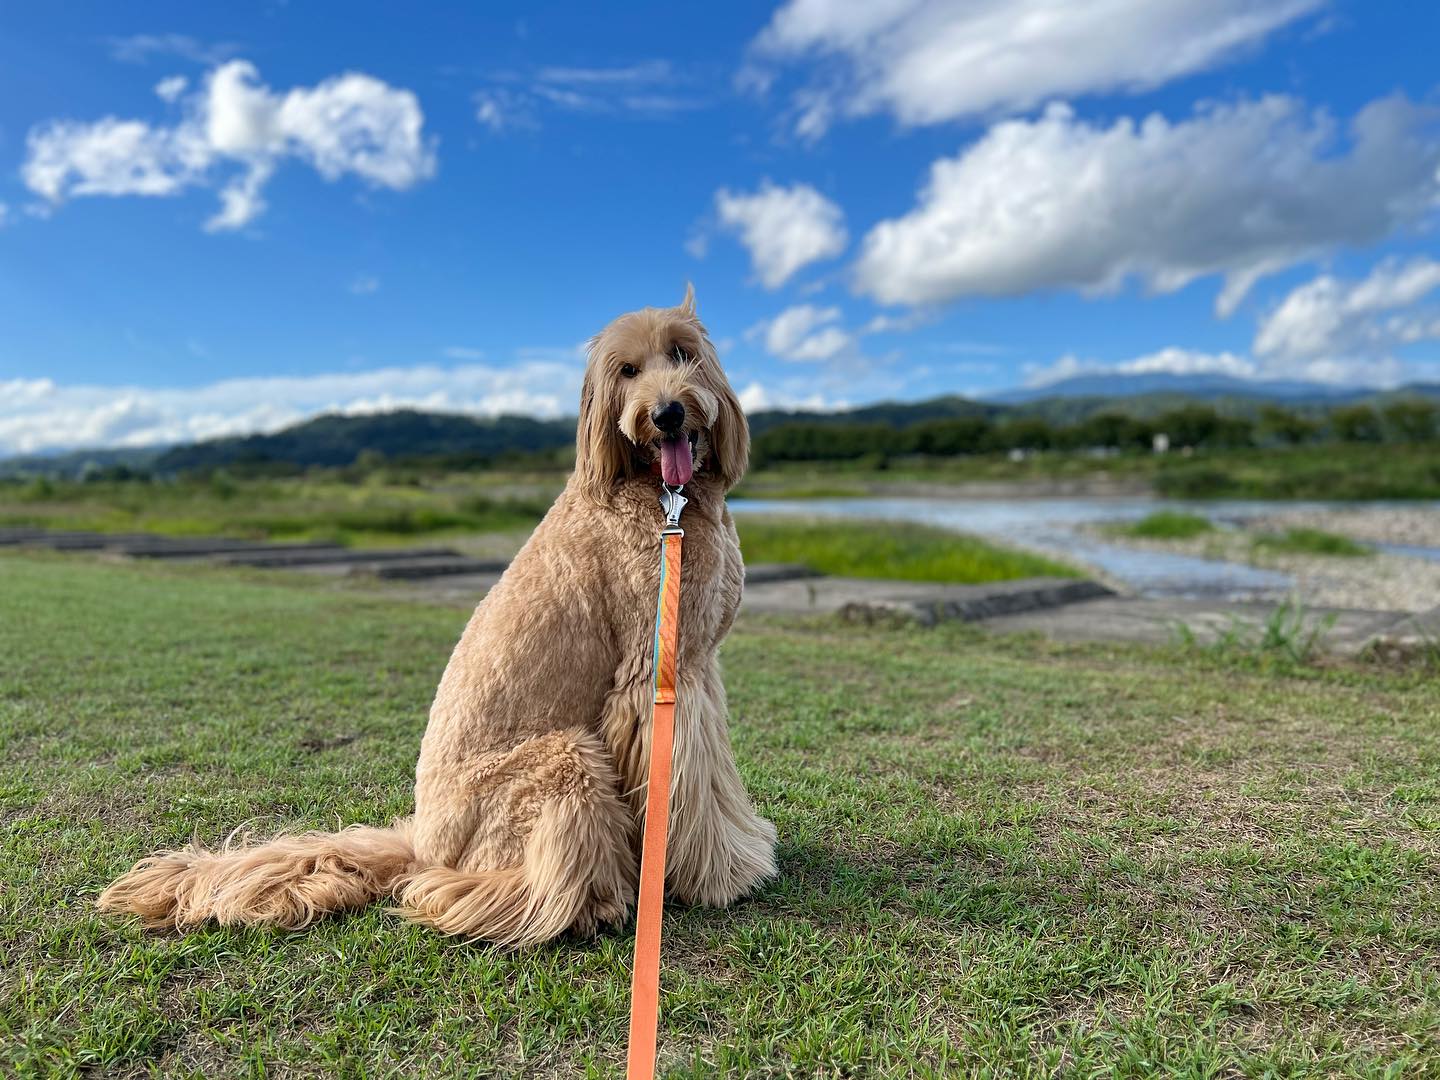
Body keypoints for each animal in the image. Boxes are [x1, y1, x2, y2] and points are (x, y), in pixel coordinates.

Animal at [100, 288, 777, 944]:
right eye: (628, 371)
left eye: (683, 353)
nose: (666, 413)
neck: (661, 498)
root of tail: (422, 842)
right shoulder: (655, 678)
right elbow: (687, 784)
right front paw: (716, 876)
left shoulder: (698, 668)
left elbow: (713, 772)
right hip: (564, 759)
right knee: (481, 889)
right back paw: (590, 904)